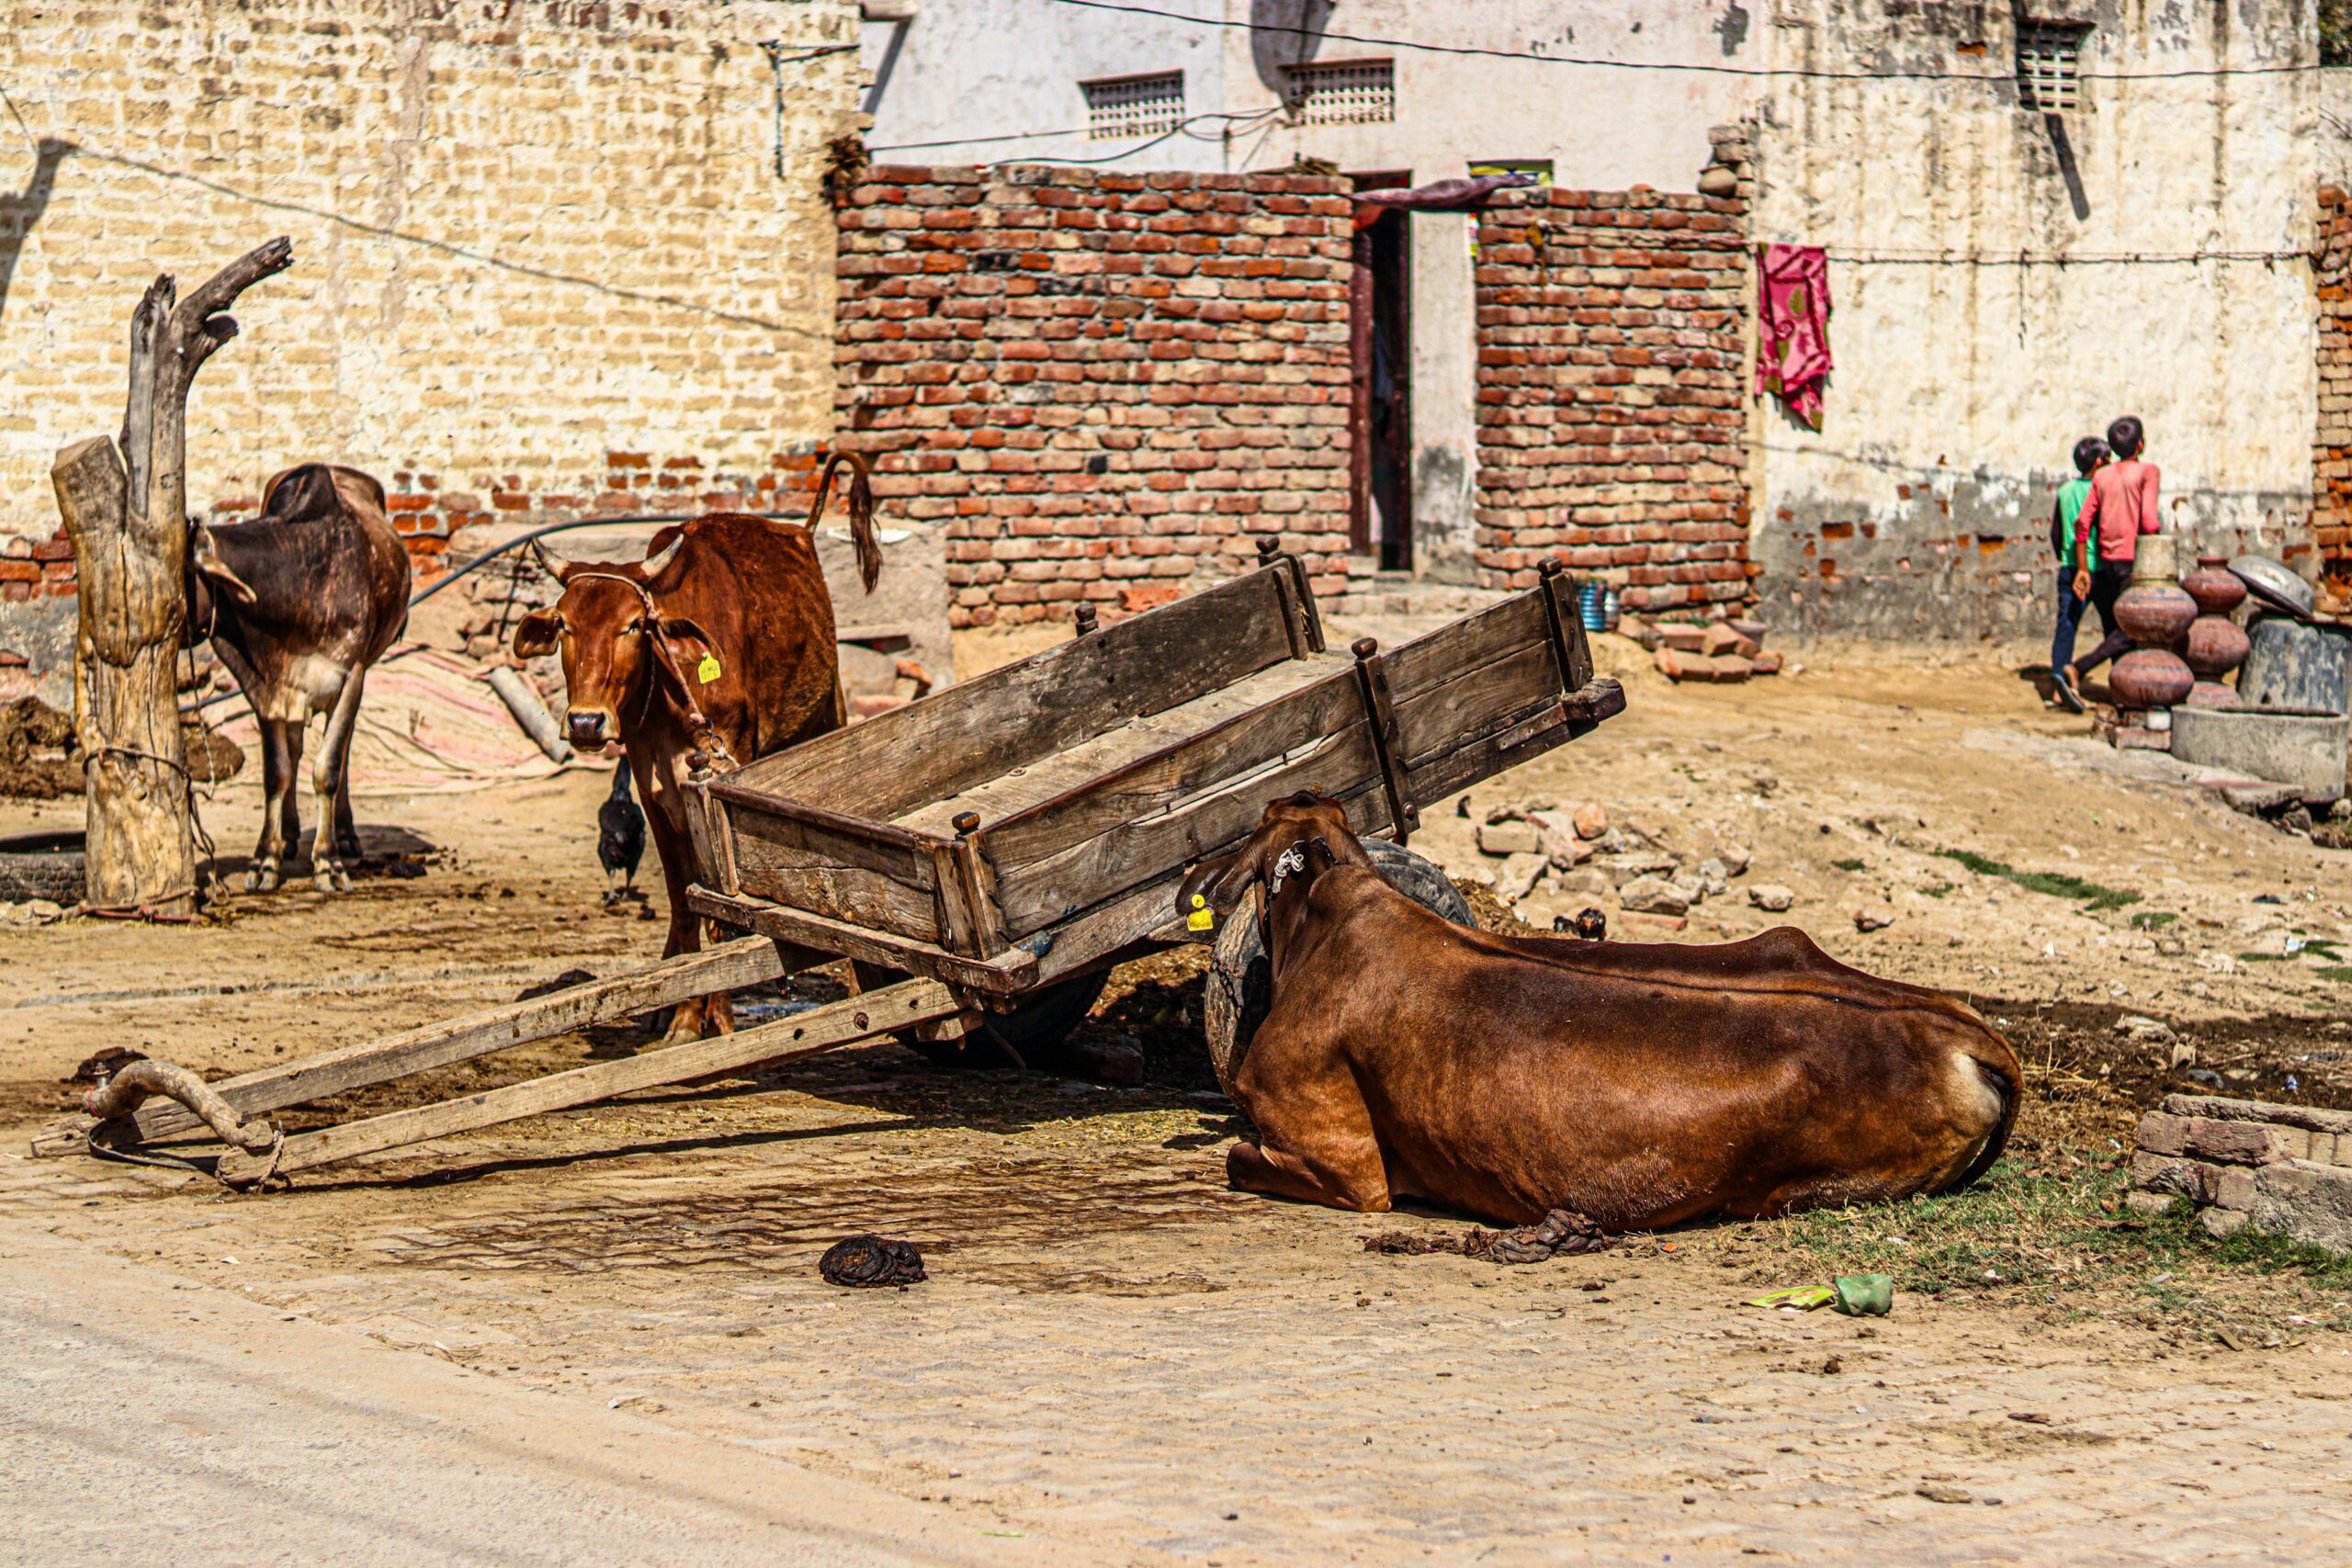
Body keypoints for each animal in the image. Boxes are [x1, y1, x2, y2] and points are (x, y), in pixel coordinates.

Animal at [514, 453, 884, 1043]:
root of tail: (800, 532)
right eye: (565, 625)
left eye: (634, 626)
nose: (587, 721)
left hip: (826, 716)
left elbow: (724, 915)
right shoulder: (653, 794)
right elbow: (686, 905)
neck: (671, 689)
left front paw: (723, 1020)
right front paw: (686, 1019)